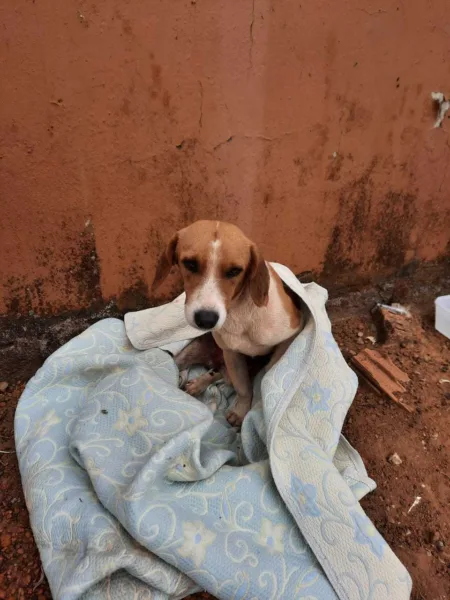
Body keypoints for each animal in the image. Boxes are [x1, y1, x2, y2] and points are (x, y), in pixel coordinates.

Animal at [152, 220, 306, 426]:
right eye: (190, 264)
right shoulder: (232, 354)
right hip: (192, 352)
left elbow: (267, 373)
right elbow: (243, 388)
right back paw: (198, 383)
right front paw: (241, 410)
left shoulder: (291, 335)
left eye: (234, 271)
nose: (206, 320)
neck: (239, 313)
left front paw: (253, 407)